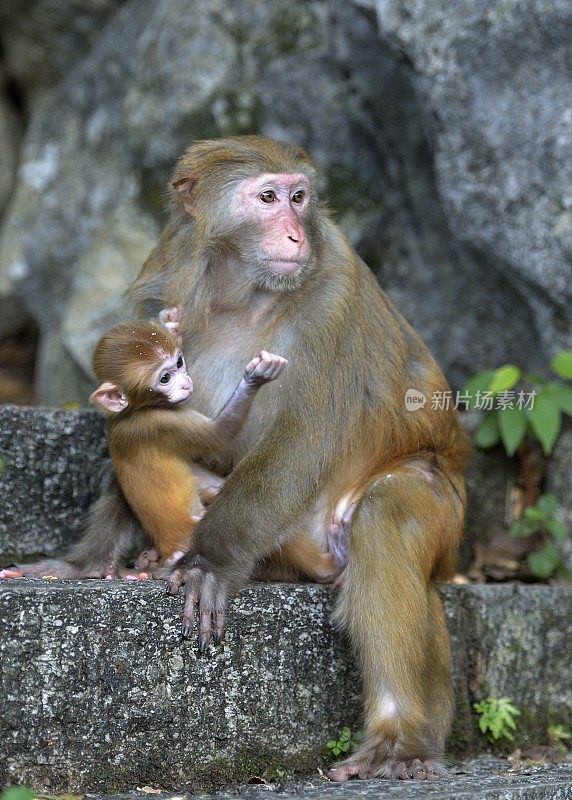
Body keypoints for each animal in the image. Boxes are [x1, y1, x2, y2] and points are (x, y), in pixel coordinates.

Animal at [90, 316, 348, 584]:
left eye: (179, 362)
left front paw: (171, 327)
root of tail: (170, 546)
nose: (185, 384)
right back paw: (328, 568)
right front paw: (254, 378)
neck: (130, 412)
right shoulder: (160, 423)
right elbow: (220, 434)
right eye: (165, 378)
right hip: (192, 532)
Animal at [126, 134, 470, 780]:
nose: (295, 236)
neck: (239, 290)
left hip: (441, 514)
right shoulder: (159, 285)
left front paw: (210, 562)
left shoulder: (331, 294)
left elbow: (300, 439)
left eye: (299, 198)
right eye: (268, 198)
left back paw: (398, 738)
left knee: (385, 517)